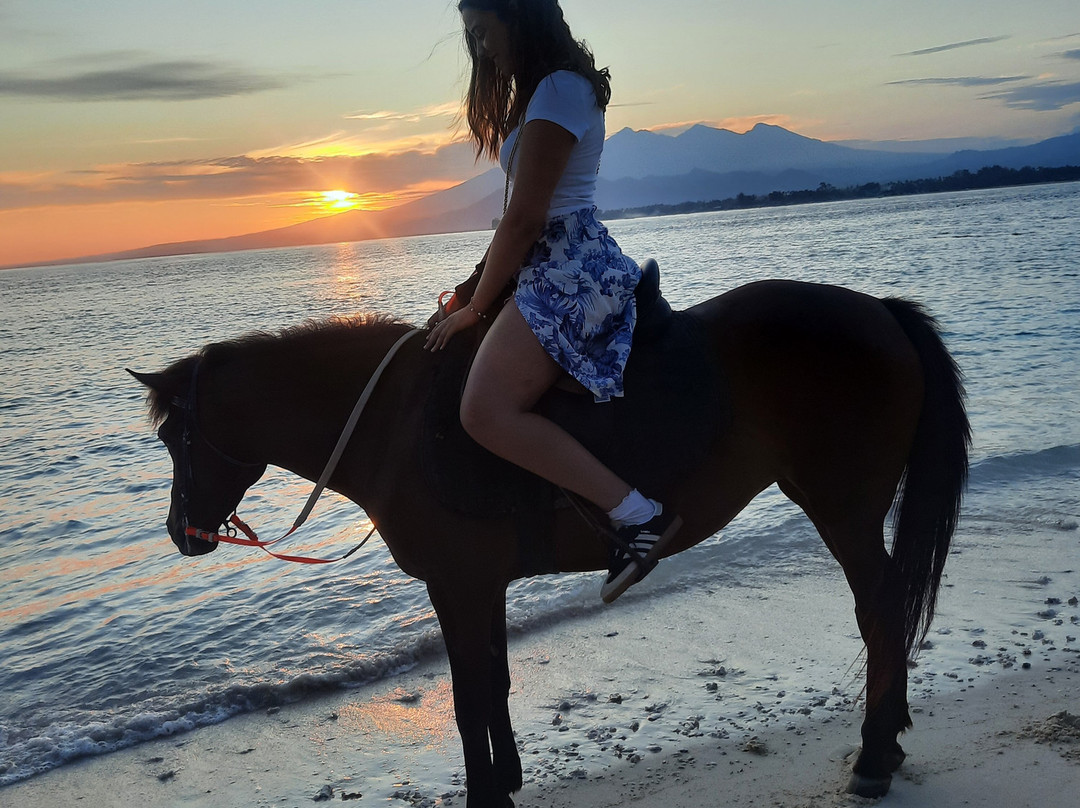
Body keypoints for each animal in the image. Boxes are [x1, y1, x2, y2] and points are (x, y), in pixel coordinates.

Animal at [131, 277, 969, 808]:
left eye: (174, 436)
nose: (180, 533)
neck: (392, 425)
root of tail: (879, 313)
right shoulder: (481, 584)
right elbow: (495, 683)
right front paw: (505, 779)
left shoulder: (457, 584)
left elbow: (468, 694)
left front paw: (483, 794)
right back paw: (888, 742)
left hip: (843, 509)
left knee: (879, 612)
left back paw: (874, 754)